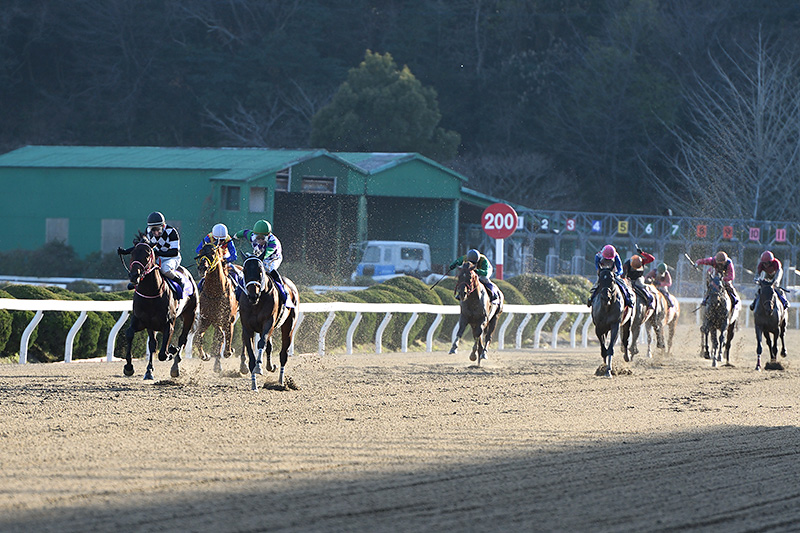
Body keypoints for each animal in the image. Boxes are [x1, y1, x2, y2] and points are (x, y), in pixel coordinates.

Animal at [126, 243, 200, 380]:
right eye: (132, 253)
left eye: (147, 255)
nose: (134, 276)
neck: (151, 294)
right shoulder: (142, 321)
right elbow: (131, 334)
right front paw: (130, 367)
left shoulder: (168, 324)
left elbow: (163, 354)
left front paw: (171, 351)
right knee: (153, 344)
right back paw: (150, 370)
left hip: (190, 315)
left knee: (182, 339)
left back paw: (175, 366)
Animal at [195, 241, 242, 370]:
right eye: (201, 252)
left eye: (212, 252)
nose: (202, 268)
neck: (215, 292)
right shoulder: (206, 319)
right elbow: (198, 338)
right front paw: (205, 355)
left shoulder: (228, 319)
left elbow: (227, 339)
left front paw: (229, 351)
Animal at [241, 256, 300, 388]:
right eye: (244, 271)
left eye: (260, 271)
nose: (253, 295)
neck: (256, 303)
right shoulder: (247, 327)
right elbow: (251, 353)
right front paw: (254, 384)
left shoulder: (269, 322)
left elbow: (261, 343)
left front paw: (259, 367)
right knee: (269, 347)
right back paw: (271, 367)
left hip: (288, 326)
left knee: (283, 354)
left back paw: (281, 382)